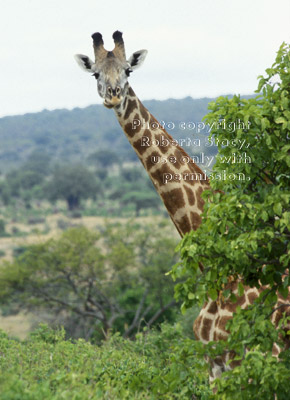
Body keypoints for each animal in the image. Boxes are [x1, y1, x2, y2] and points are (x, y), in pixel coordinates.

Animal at [75, 31, 290, 388]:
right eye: (95, 74)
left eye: (127, 70)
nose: (113, 95)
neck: (220, 270)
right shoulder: (213, 365)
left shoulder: (252, 361)